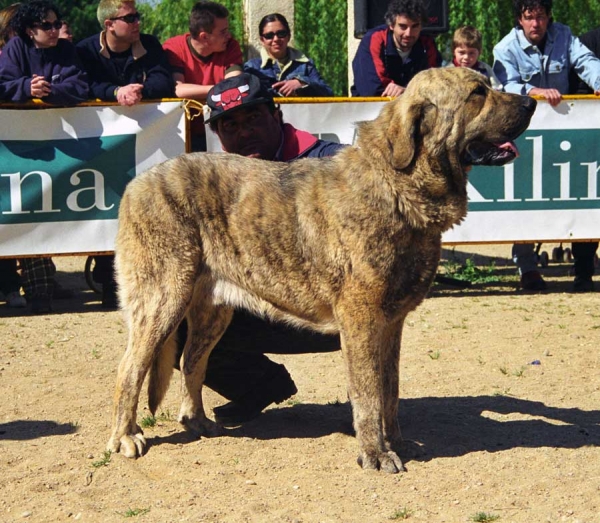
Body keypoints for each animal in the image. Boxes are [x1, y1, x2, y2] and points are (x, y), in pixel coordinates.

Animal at [106, 67, 536, 472]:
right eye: (477, 93)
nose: (532, 101)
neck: (396, 183)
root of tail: (135, 184)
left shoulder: (391, 324)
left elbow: (390, 391)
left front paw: (397, 441)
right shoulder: (362, 320)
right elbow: (368, 394)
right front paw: (376, 453)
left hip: (212, 313)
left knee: (193, 363)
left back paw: (198, 422)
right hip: (162, 300)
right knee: (129, 369)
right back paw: (126, 437)